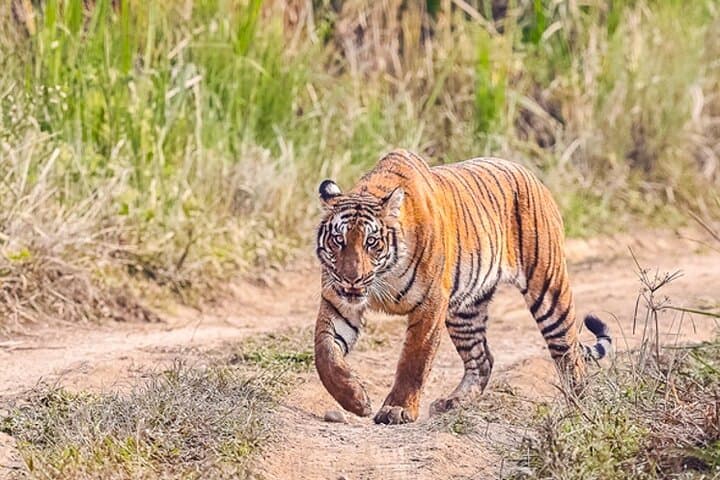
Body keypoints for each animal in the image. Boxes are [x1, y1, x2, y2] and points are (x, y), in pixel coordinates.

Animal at [313, 149, 611, 425]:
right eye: (338, 240)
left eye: (371, 242)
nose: (352, 278)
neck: (382, 277)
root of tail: (533, 177)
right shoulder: (337, 301)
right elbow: (325, 353)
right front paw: (355, 400)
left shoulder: (430, 303)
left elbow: (414, 359)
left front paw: (396, 409)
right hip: (465, 311)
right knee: (483, 359)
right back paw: (452, 402)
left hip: (549, 292)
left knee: (569, 352)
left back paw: (580, 412)